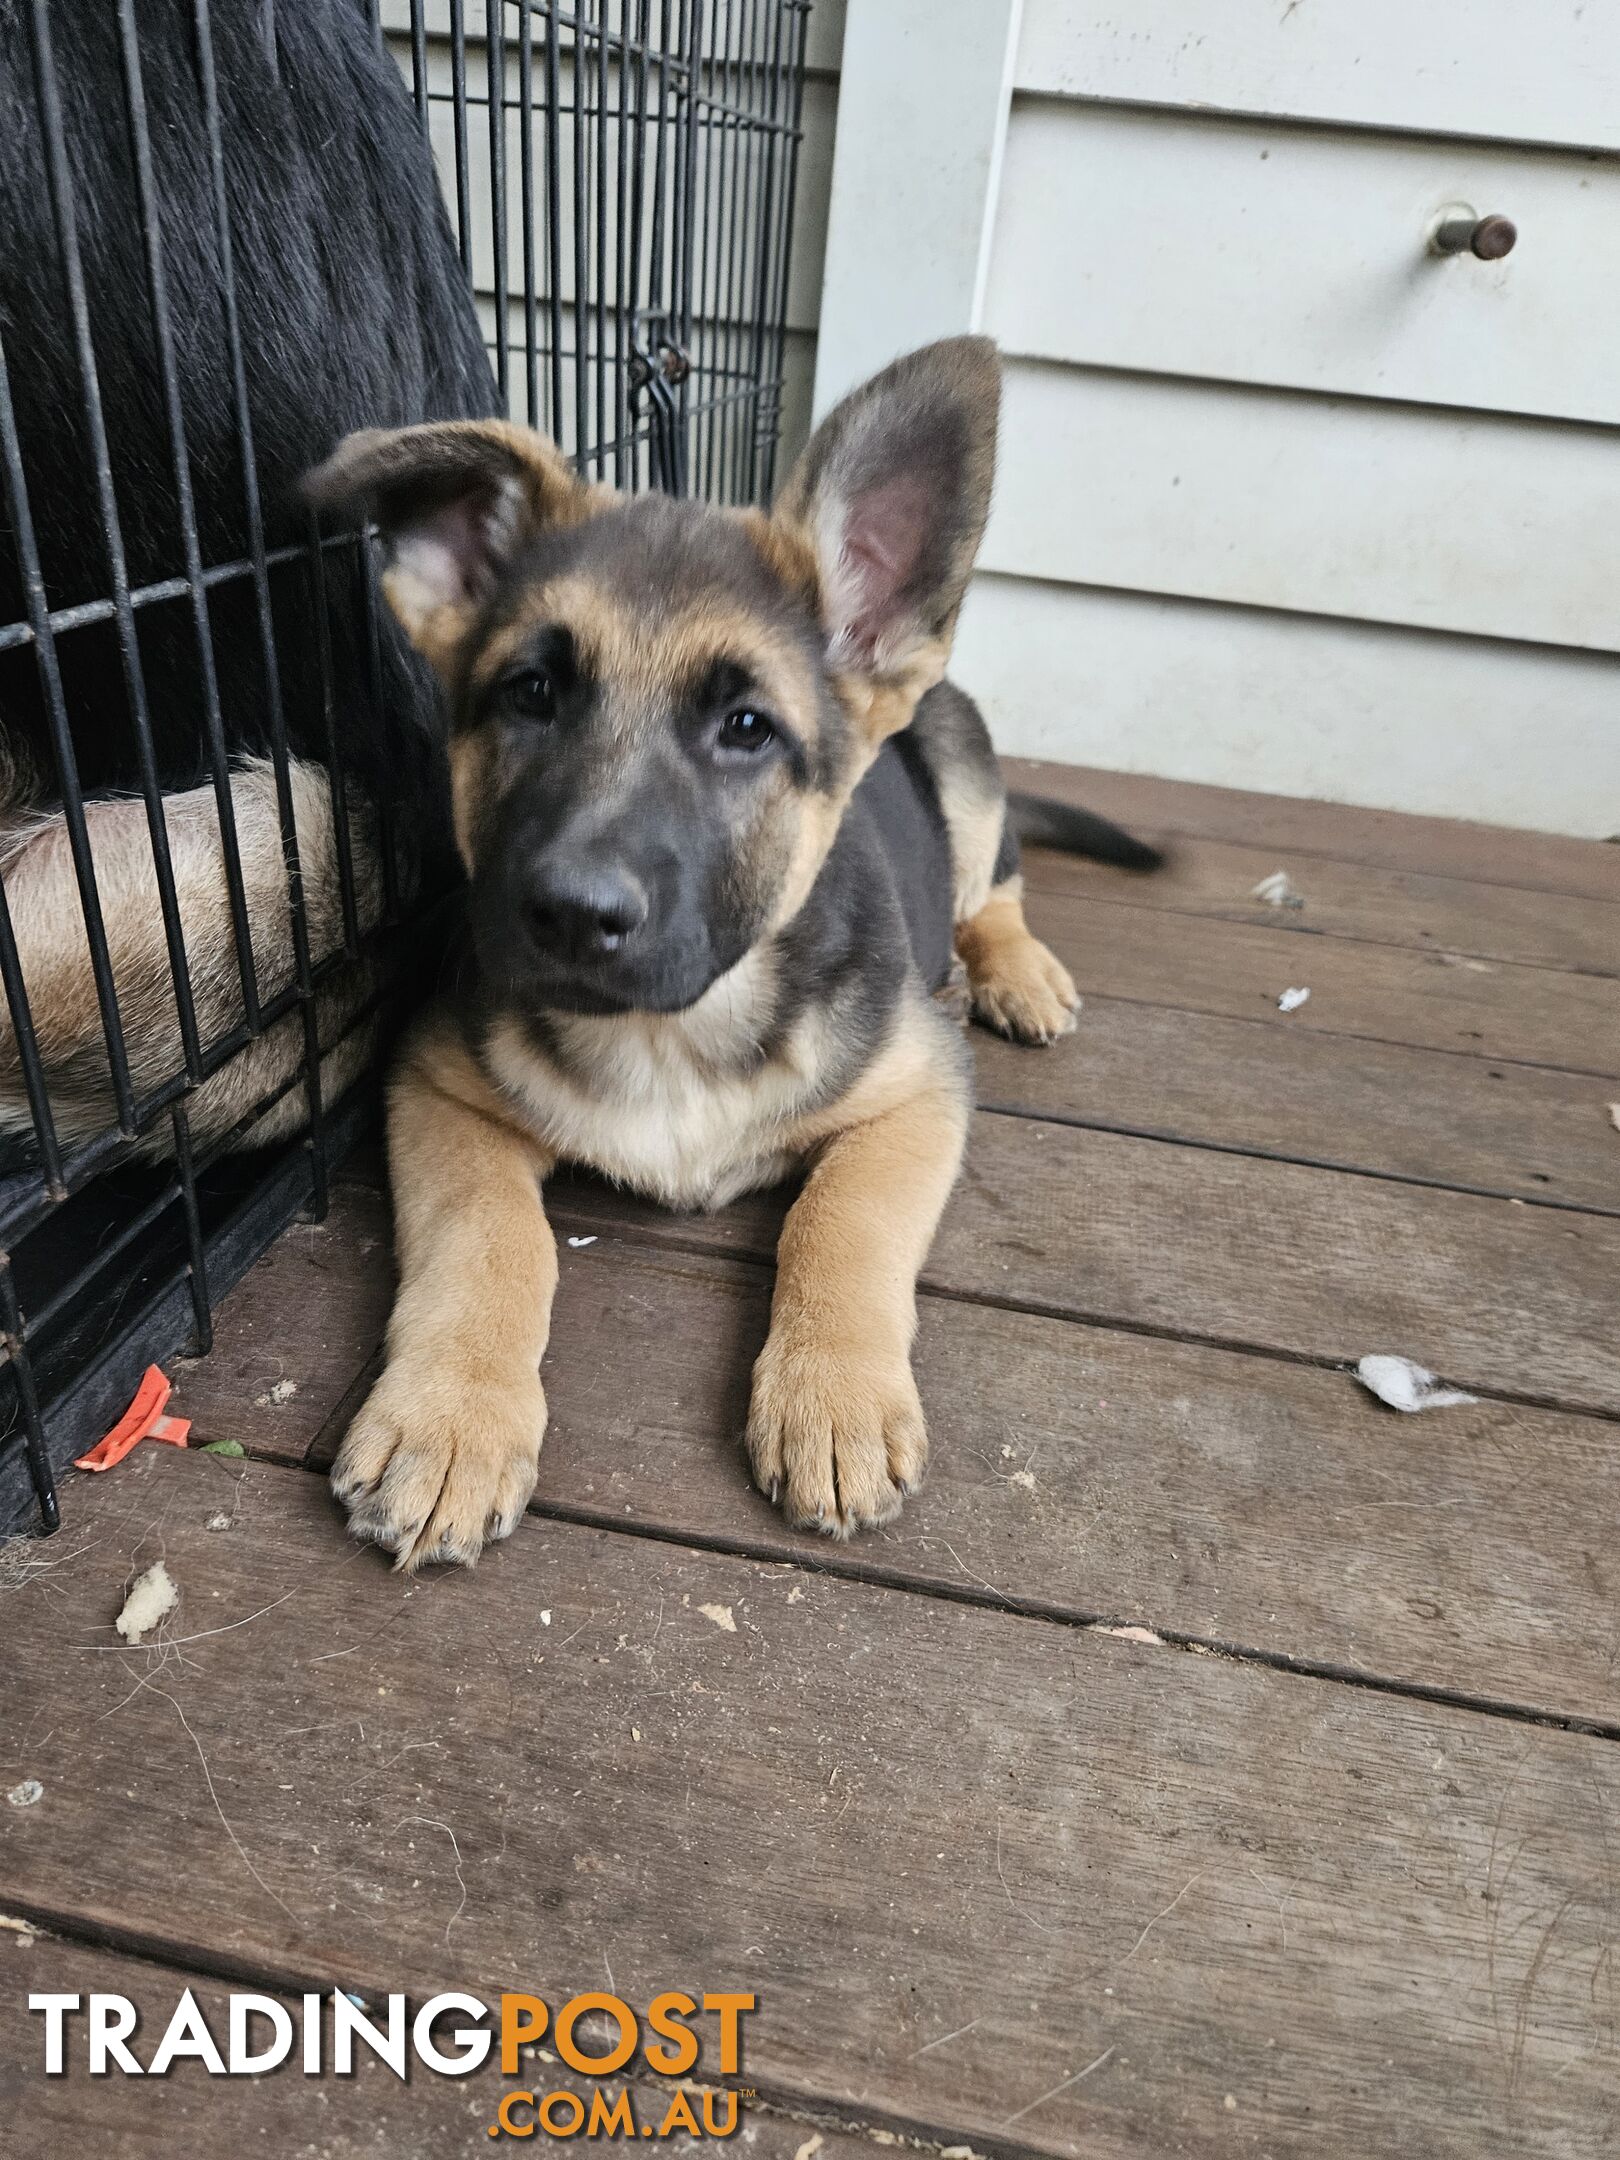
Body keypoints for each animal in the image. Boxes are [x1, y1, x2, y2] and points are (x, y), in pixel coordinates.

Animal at [311, 345, 1157, 1581]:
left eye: (747, 729)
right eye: (530, 694)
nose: (571, 915)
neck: (674, 1029)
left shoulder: (918, 1095)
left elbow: (839, 1222)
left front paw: (832, 1399)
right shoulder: (435, 1084)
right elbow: (490, 1237)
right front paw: (449, 1418)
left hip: (962, 766)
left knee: (995, 883)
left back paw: (1013, 972)